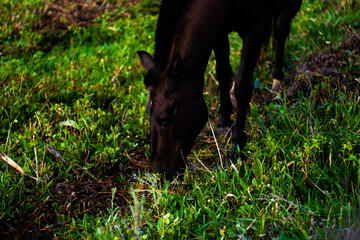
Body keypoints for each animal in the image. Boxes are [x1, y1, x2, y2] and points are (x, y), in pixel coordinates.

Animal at [138, 0, 300, 177]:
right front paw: (224, 120)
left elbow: (243, 87)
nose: (159, 171)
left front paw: (237, 148)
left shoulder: (255, 28)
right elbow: (223, 72)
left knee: (281, 30)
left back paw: (277, 81)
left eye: (165, 118)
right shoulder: (219, 30)